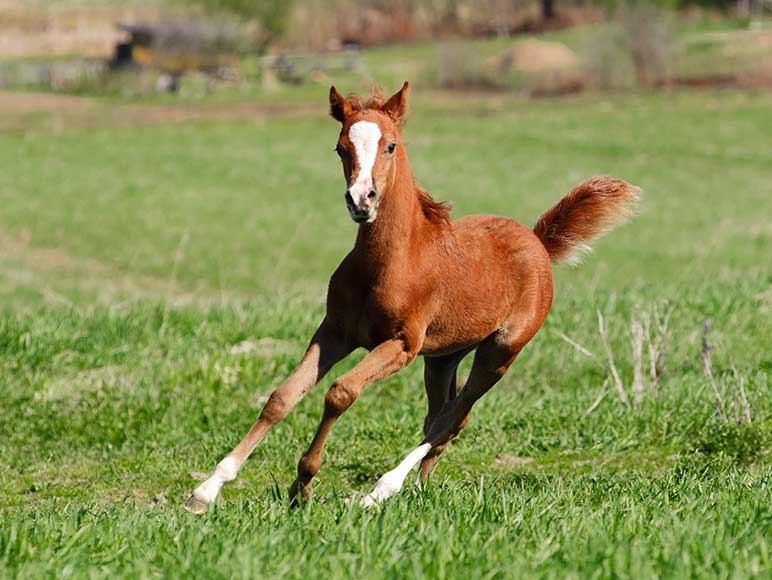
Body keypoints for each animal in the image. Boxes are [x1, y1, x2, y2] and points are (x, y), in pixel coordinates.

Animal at [185, 81, 639, 513]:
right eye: (341, 147)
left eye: (390, 145)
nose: (361, 199)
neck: (389, 263)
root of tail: (538, 241)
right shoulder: (334, 332)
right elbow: (281, 397)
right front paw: (207, 491)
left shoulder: (401, 344)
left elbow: (340, 392)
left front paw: (304, 483)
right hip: (442, 358)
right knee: (442, 415)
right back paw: (420, 485)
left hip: (500, 352)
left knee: (451, 417)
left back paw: (382, 490)